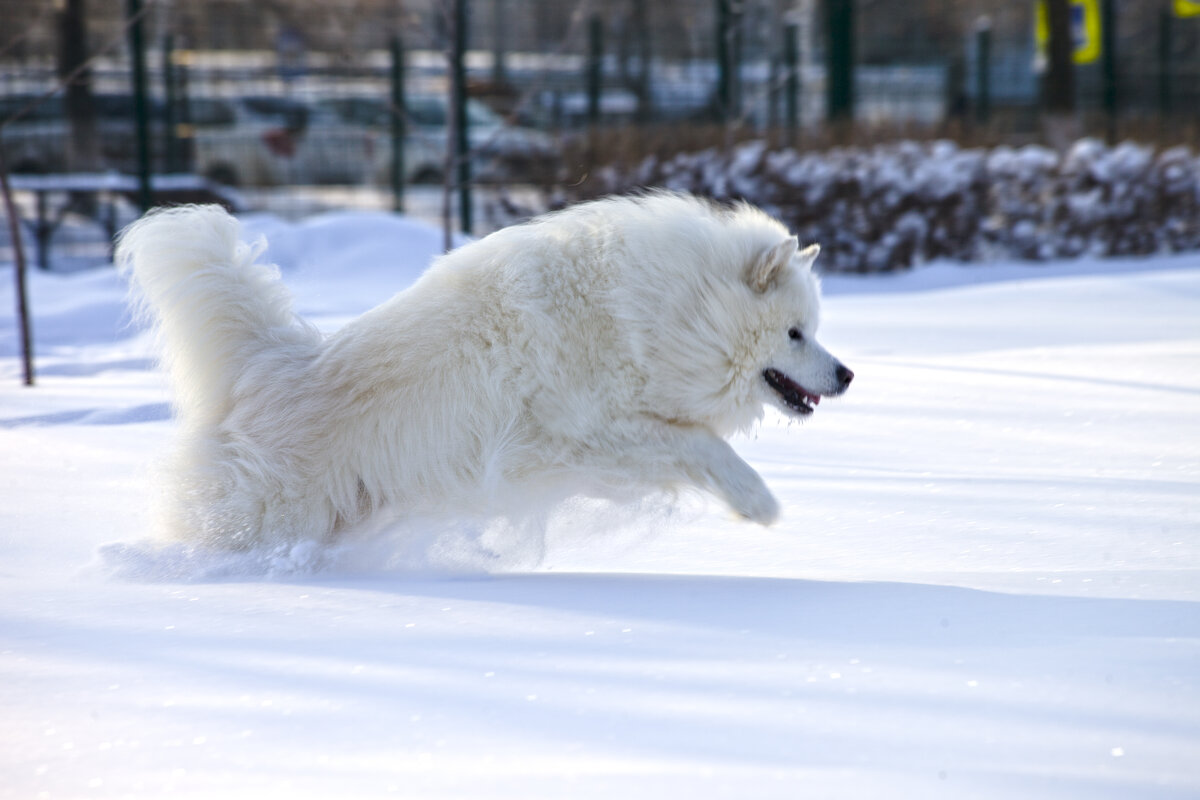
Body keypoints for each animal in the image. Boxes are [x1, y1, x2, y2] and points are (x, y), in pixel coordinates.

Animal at [119, 191, 854, 551]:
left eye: (814, 330)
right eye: (794, 334)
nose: (847, 375)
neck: (659, 312)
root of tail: (266, 365)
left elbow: (697, 447)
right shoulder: (585, 433)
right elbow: (706, 447)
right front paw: (760, 505)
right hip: (264, 513)